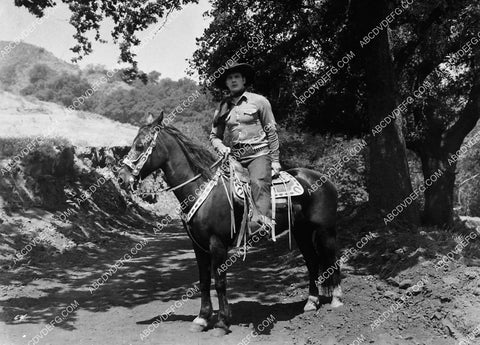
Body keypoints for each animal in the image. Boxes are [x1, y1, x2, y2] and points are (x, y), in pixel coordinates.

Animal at [116, 111, 342, 334]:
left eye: (140, 145)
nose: (121, 178)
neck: (202, 189)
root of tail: (325, 179)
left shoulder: (218, 244)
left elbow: (220, 282)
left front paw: (222, 322)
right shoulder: (198, 246)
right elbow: (204, 281)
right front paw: (202, 319)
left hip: (326, 230)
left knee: (333, 260)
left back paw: (337, 301)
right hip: (301, 232)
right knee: (312, 261)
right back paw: (311, 302)